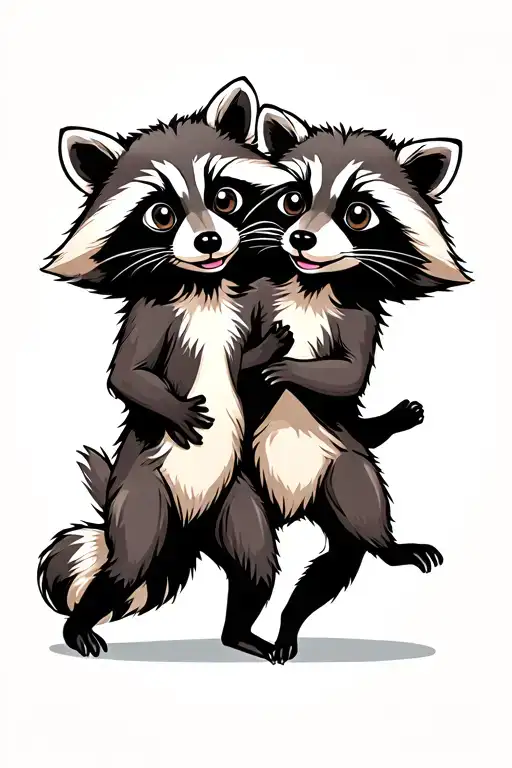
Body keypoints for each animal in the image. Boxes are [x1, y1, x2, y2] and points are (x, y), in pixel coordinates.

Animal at [37, 78, 296, 661]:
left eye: (225, 198)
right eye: (161, 214)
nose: (209, 242)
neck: (205, 285)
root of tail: (189, 527)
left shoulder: (245, 303)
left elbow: (246, 366)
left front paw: (264, 352)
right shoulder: (151, 313)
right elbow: (124, 375)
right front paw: (173, 409)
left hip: (233, 497)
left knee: (255, 563)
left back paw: (239, 631)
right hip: (145, 493)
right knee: (125, 565)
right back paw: (80, 625)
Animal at [250, 104, 471, 662]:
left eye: (357, 213)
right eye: (292, 200)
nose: (301, 239)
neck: (311, 282)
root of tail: (293, 505)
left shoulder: (358, 316)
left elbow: (347, 375)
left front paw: (286, 368)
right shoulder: (256, 295)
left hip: (345, 471)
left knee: (351, 543)